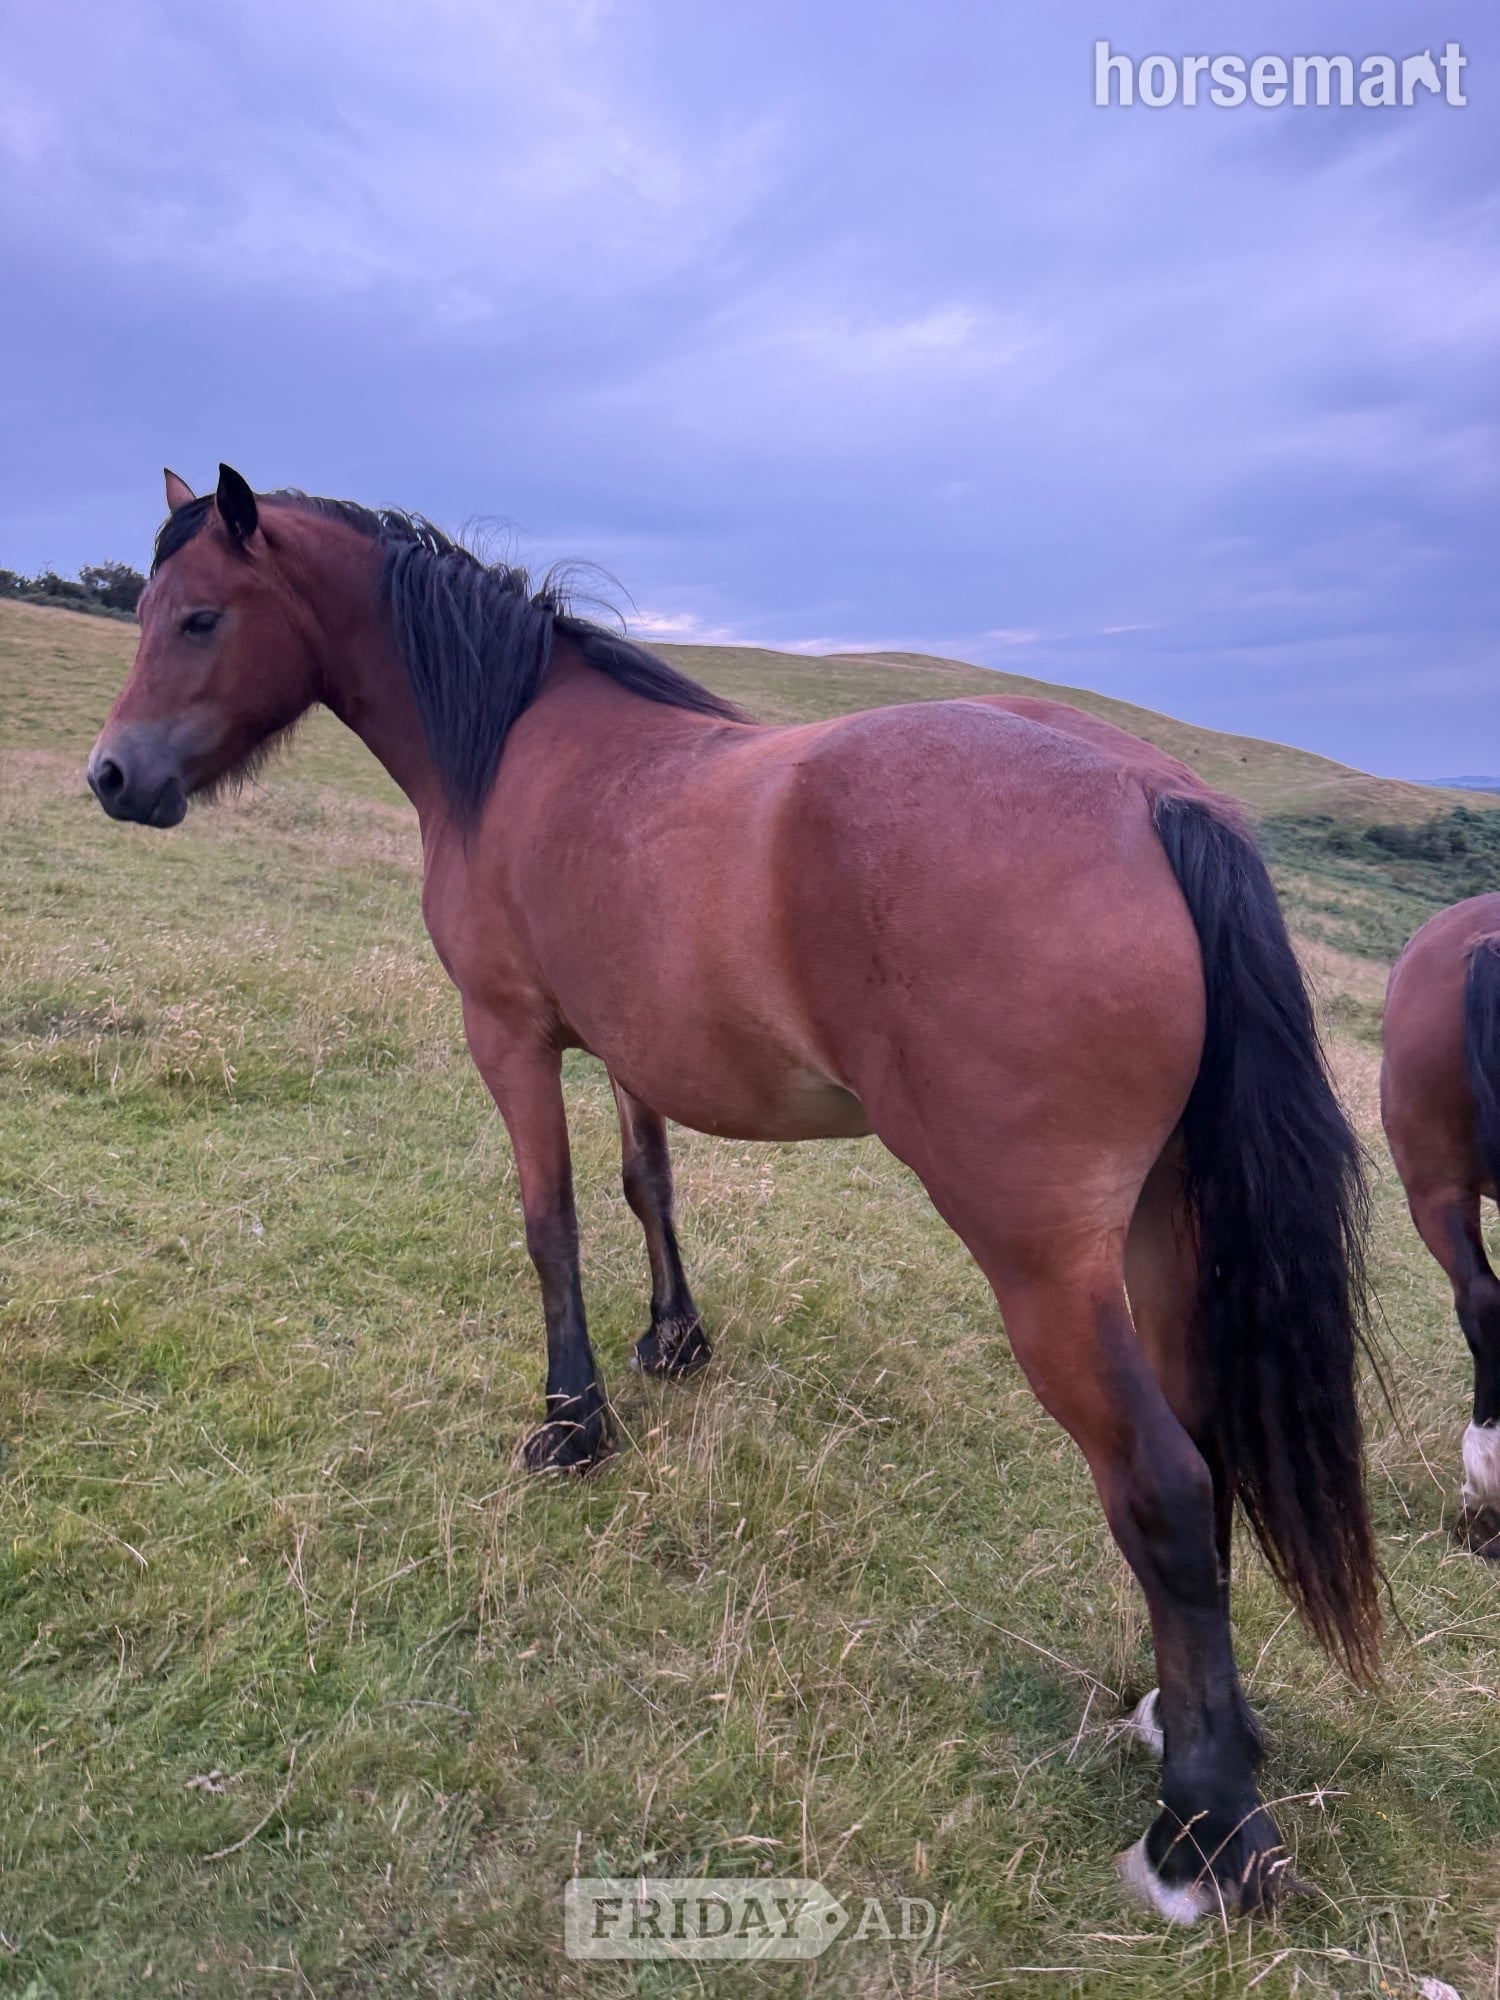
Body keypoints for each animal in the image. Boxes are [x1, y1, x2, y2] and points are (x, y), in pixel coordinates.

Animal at [86, 463, 1380, 1921]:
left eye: (197, 616)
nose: (112, 776)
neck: (520, 747)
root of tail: (1147, 798)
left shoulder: (511, 1036)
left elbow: (550, 1223)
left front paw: (574, 1421)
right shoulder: (628, 1043)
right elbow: (646, 1184)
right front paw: (674, 1340)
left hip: (1047, 1262)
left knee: (1154, 1475)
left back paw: (1206, 1827)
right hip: (1164, 1226)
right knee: (1203, 1450)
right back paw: (1181, 1719)